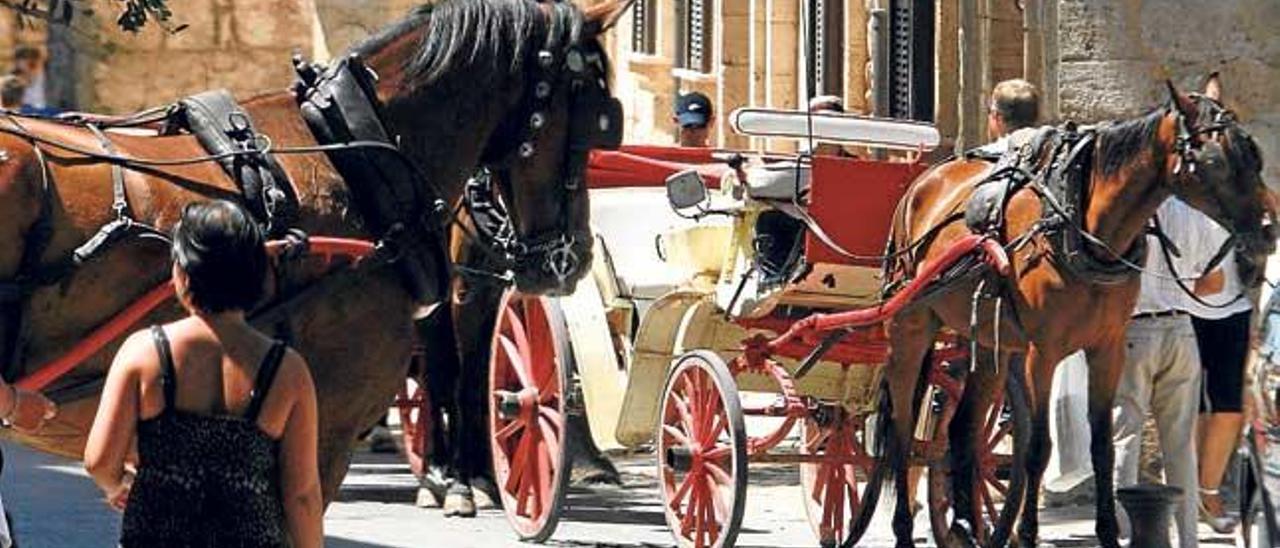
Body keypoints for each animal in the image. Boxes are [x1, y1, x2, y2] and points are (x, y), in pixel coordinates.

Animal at [880, 73, 1269, 548]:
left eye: (1253, 153)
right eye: (1214, 161)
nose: (1268, 231)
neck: (1080, 222)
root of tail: (923, 183)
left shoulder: (1109, 348)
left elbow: (1103, 445)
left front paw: (1107, 533)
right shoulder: (1041, 354)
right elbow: (1037, 447)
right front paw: (1028, 533)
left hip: (989, 341)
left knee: (963, 429)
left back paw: (968, 526)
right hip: (910, 324)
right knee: (901, 430)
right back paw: (903, 527)